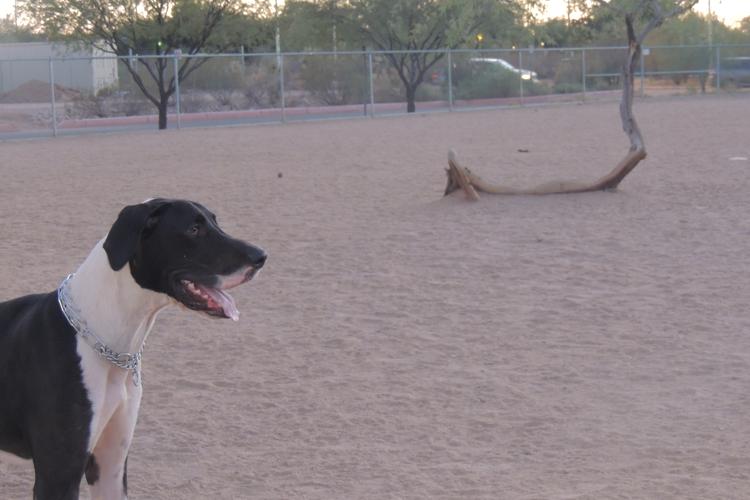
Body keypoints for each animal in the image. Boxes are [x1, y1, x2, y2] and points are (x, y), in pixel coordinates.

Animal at [0, 198, 266, 499]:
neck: (106, 340)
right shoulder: (58, 475)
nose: (261, 256)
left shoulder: (110, 467)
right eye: (194, 229)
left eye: (214, 222)